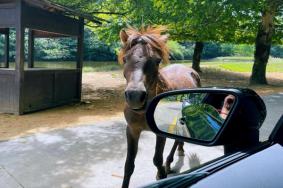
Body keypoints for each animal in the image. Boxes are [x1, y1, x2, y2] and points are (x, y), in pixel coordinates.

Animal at [119, 25, 202, 187]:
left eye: (157, 61)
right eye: (125, 59)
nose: (135, 96)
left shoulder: (160, 131)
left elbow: (157, 159)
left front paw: (162, 174)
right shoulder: (132, 130)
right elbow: (128, 165)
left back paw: (169, 162)